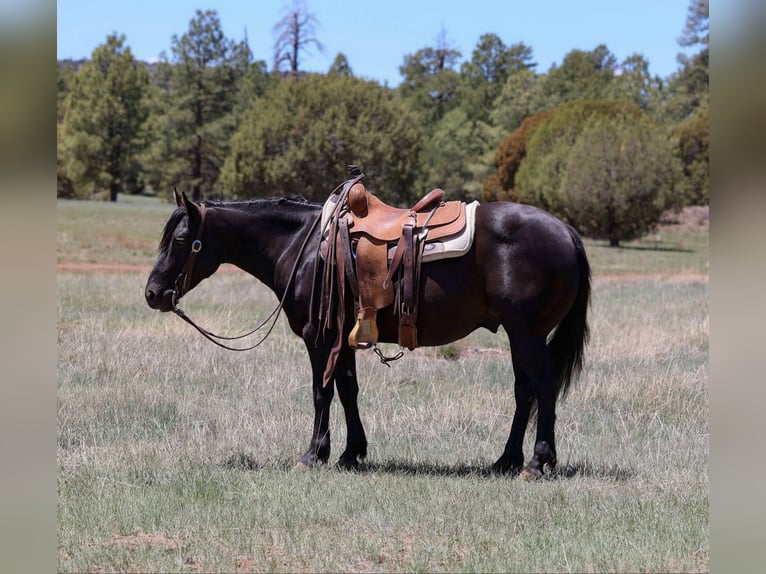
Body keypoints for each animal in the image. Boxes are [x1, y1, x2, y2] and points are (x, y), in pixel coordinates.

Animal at [145, 187, 591, 478]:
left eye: (181, 239)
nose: (152, 293)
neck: (306, 246)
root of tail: (566, 231)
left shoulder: (319, 336)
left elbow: (321, 391)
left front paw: (314, 455)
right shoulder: (343, 338)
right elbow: (347, 389)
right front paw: (351, 453)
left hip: (527, 334)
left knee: (543, 387)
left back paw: (537, 461)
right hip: (519, 336)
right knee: (525, 391)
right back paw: (506, 460)